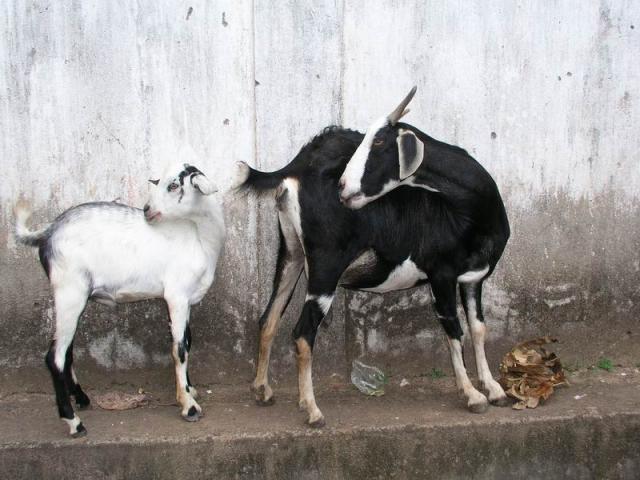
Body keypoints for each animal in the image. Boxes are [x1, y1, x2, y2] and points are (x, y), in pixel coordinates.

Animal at [14, 163, 225, 436]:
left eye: (173, 185)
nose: (147, 210)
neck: (199, 238)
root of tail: (48, 232)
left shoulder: (186, 301)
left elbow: (187, 341)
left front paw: (189, 390)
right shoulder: (176, 296)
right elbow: (179, 349)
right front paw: (188, 406)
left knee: (66, 351)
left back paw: (81, 399)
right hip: (69, 291)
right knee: (55, 357)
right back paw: (74, 422)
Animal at [238, 88, 512, 426]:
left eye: (379, 141)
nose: (343, 186)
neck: (467, 210)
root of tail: (299, 166)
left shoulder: (474, 278)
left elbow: (478, 328)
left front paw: (493, 388)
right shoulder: (441, 274)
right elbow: (453, 328)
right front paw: (472, 394)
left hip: (291, 254)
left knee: (269, 317)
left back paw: (262, 390)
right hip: (326, 265)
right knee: (302, 333)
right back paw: (312, 409)